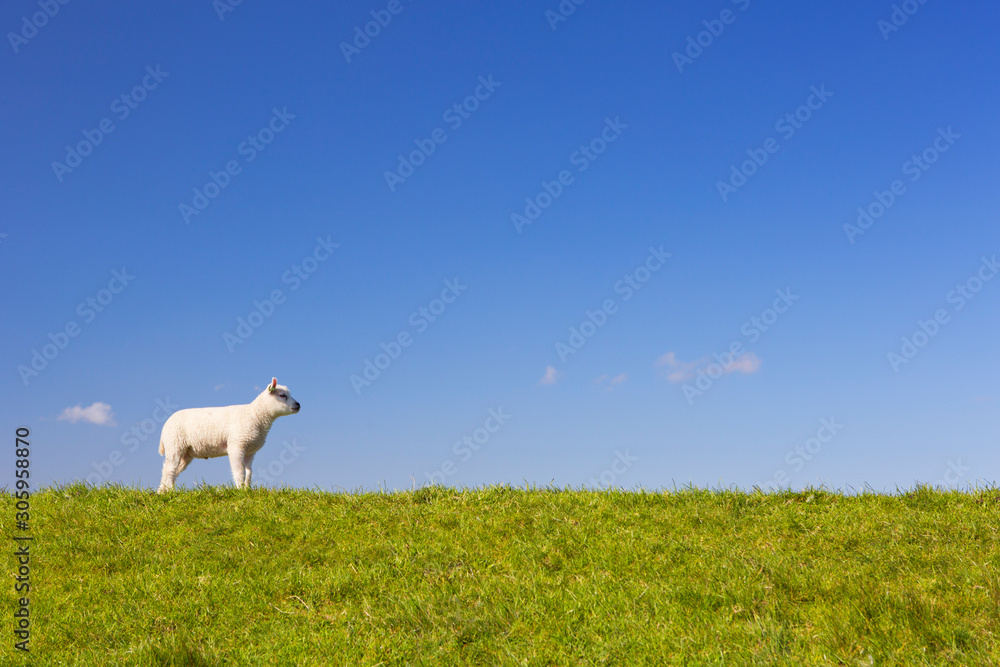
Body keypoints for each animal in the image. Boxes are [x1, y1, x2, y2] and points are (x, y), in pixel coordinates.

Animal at [157, 378, 300, 493]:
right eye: (282, 395)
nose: (298, 405)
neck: (254, 415)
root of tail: (165, 425)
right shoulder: (236, 446)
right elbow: (239, 471)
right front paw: (239, 490)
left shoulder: (250, 451)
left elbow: (249, 473)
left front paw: (247, 489)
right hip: (175, 444)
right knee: (170, 469)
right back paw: (170, 491)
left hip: (186, 452)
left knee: (170, 470)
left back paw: (162, 491)